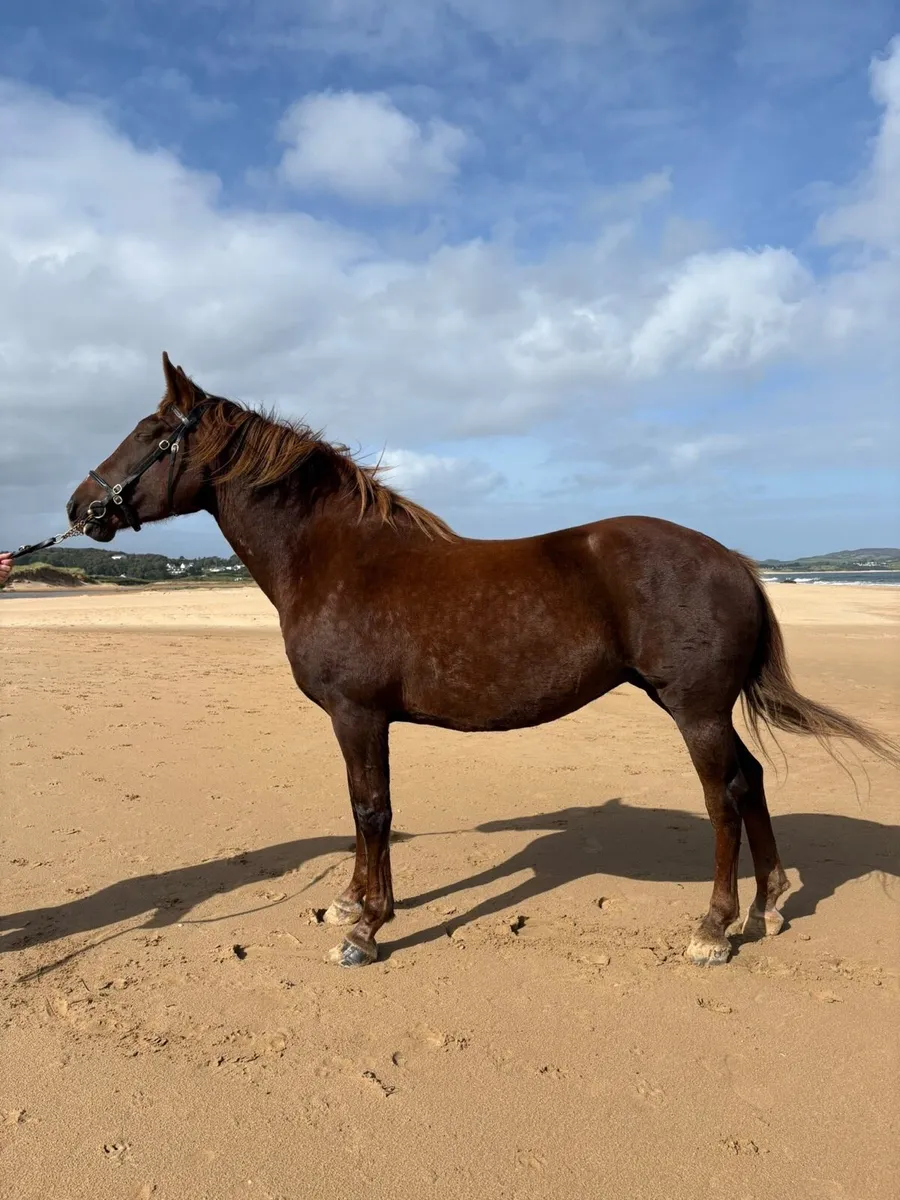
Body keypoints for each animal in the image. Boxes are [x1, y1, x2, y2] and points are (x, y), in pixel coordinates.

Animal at [65, 352, 900, 968]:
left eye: (151, 434)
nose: (80, 506)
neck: (337, 557)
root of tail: (734, 559)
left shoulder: (357, 715)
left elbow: (371, 810)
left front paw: (366, 930)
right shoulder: (362, 721)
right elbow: (364, 811)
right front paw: (353, 903)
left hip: (694, 711)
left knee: (724, 796)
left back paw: (715, 927)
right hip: (701, 709)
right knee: (751, 780)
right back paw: (768, 904)